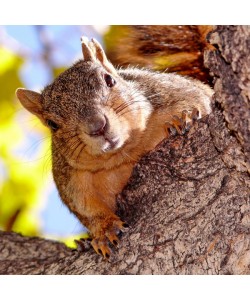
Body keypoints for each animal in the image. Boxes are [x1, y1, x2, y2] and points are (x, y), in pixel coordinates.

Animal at [15, 35, 212, 260]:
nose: (97, 126)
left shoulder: (173, 91)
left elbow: (198, 99)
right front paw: (105, 229)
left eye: (109, 80)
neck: (123, 153)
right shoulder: (71, 177)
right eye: (52, 124)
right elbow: (86, 208)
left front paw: (184, 117)